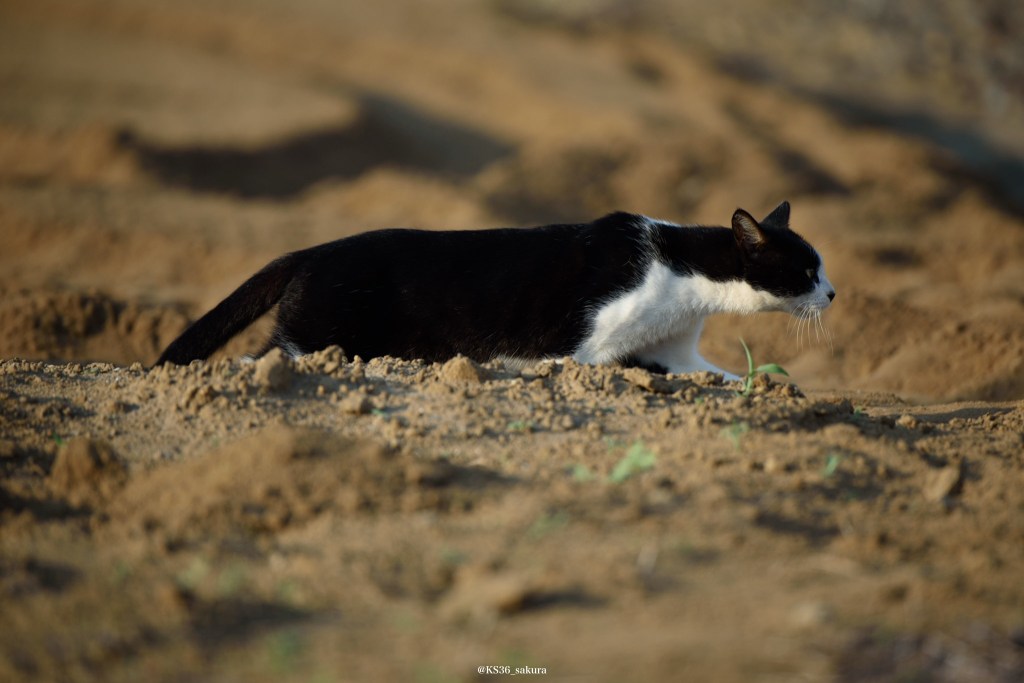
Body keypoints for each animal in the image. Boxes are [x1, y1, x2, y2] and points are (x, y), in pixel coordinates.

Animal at [156, 201, 835, 380]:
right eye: (806, 271)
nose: (832, 295)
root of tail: (308, 251)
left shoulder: (678, 348)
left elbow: (726, 375)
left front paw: (776, 385)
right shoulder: (587, 341)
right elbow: (591, 364)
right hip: (321, 332)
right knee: (264, 353)